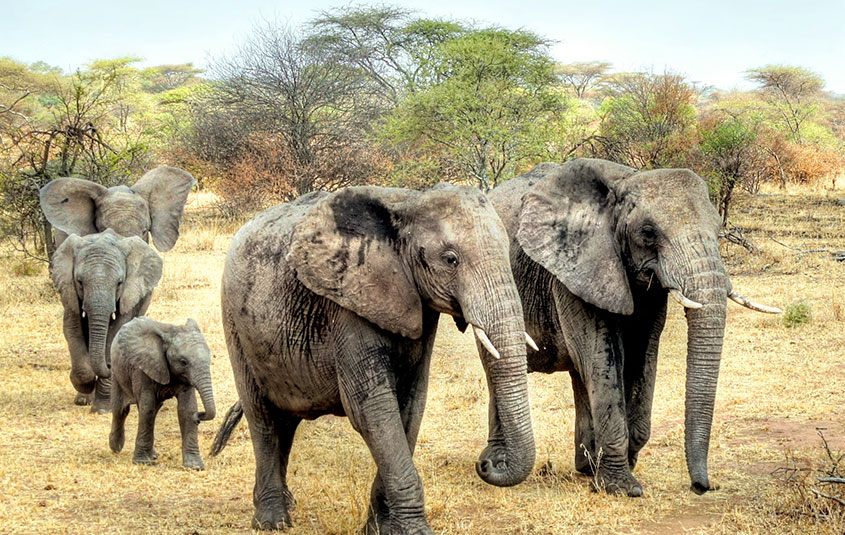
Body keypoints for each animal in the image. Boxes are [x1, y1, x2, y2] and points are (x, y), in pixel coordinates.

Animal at [51, 229, 163, 412]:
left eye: (119, 283)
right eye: (79, 282)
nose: (110, 367)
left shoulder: (129, 294)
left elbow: (116, 331)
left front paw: (103, 408)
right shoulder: (69, 292)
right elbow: (72, 330)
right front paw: (85, 386)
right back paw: (83, 399)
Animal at [109, 316, 216, 469]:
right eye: (183, 362)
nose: (199, 417)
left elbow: (187, 409)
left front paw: (194, 466)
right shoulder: (142, 368)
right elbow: (147, 407)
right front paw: (142, 462)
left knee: (153, 410)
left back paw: (152, 455)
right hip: (116, 370)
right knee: (120, 410)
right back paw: (115, 447)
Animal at [212, 185, 536, 533]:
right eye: (450, 259)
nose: (487, 462)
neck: (407, 204)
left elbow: (409, 407)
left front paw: (381, 529)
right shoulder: (348, 302)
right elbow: (372, 410)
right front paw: (416, 531)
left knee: (284, 422)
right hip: (234, 323)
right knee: (263, 419)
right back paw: (273, 522)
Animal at [487, 158, 780, 497]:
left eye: (719, 230)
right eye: (648, 233)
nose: (701, 486)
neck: (624, 183)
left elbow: (643, 354)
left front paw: (623, 463)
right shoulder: (575, 269)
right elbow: (601, 355)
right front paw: (622, 487)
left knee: (579, 375)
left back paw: (585, 466)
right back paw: (496, 464)